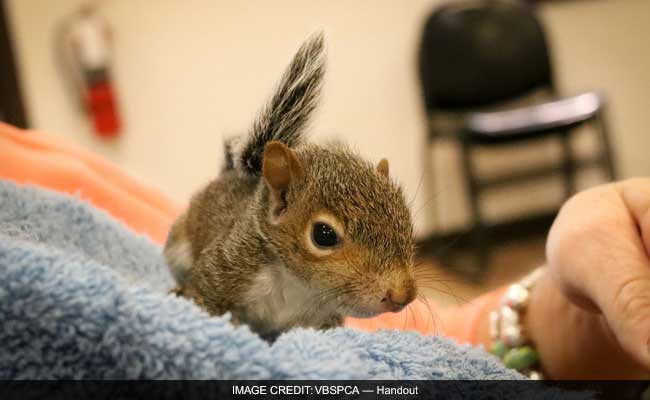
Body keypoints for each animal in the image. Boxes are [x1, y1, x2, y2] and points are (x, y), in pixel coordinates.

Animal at [162, 33, 416, 340]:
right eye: (324, 235)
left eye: (408, 226)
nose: (403, 295)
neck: (300, 286)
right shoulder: (224, 266)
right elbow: (205, 297)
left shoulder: (320, 320)